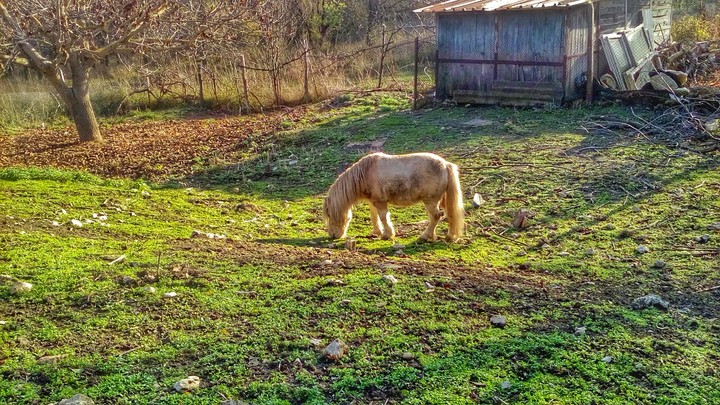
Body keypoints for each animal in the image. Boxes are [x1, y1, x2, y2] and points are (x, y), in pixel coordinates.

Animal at [322, 152, 464, 242]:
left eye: (329, 215)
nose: (333, 235)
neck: (365, 173)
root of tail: (445, 165)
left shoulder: (380, 202)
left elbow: (383, 217)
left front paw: (387, 235)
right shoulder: (373, 202)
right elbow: (374, 217)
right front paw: (377, 232)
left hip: (430, 201)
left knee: (435, 216)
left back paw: (424, 236)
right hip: (442, 200)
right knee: (450, 214)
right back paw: (449, 236)